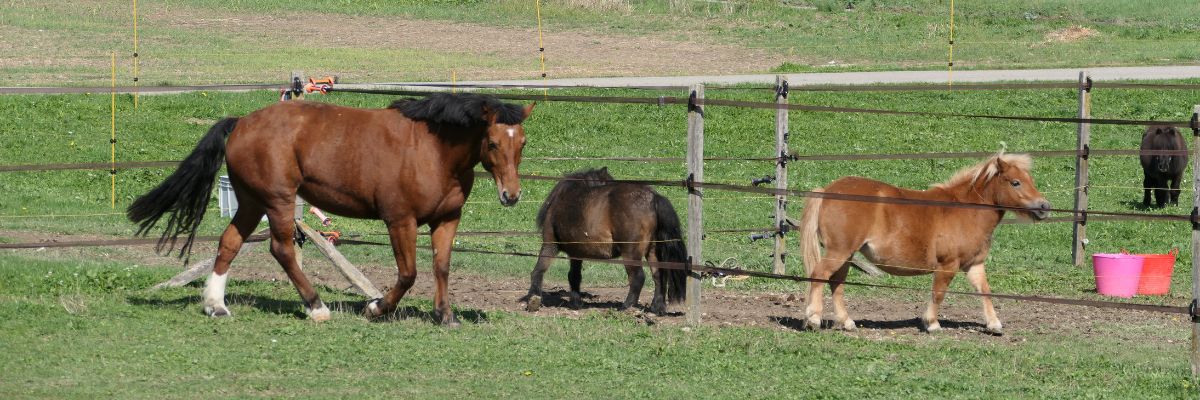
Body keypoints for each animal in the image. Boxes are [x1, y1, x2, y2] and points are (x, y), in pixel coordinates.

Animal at [128, 93, 535, 327]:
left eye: (523, 143)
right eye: (493, 142)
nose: (511, 195)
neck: (432, 150)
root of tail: (242, 122)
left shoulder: (447, 219)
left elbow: (442, 267)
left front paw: (445, 316)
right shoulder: (399, 220)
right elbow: (408, 274)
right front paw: (375, 307)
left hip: (252, 201)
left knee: (229, 243)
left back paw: (216, 306)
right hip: (278, 201)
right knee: (282, 249)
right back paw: (316, 307)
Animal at [521, 167, 688, 315]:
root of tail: (653, 198)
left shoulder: (551, 244)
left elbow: (539, 270)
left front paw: (533, 299)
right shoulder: (576, 252)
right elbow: (574, 276)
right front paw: (576, 303)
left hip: (630, 252)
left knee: (638, 278)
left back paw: (626, 306)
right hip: (652, 250)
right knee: (659, 275)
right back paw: (657, 308)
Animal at [799, 152, 1049, 335]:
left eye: (1030, 180)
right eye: (1015, 182)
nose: (1044, 207)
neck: (967, 210)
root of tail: (827, 191)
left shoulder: (974, 265)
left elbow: (984, 291)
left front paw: (994, 324)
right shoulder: (948, 265)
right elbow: (938, 293)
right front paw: (932, 324)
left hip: (847, 254)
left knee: (836, 284)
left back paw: (847, 322)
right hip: (839, 252)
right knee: (819, 275)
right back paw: (814, 319)